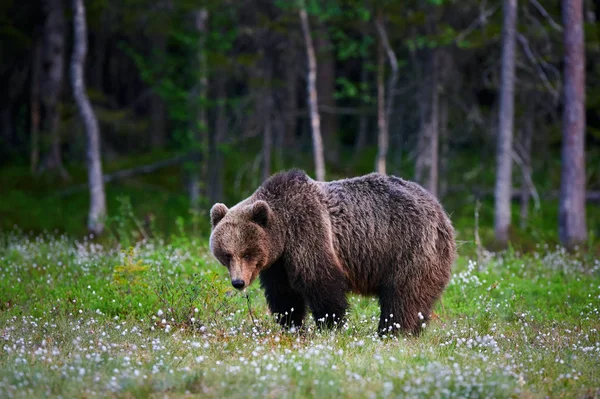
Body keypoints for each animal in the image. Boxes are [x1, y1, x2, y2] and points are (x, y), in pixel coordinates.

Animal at [209, 170, 458, 336]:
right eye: (227, 254)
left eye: (247, 253)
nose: (238, 282)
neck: (284, 233)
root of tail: (440, 210)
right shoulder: (277, 263)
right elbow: (284, 294)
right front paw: (291, 326)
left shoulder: (309, 231)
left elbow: (321, 282)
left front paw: (331, 326)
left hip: (409, 246)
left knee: (403, 294)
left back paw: (392, 332)